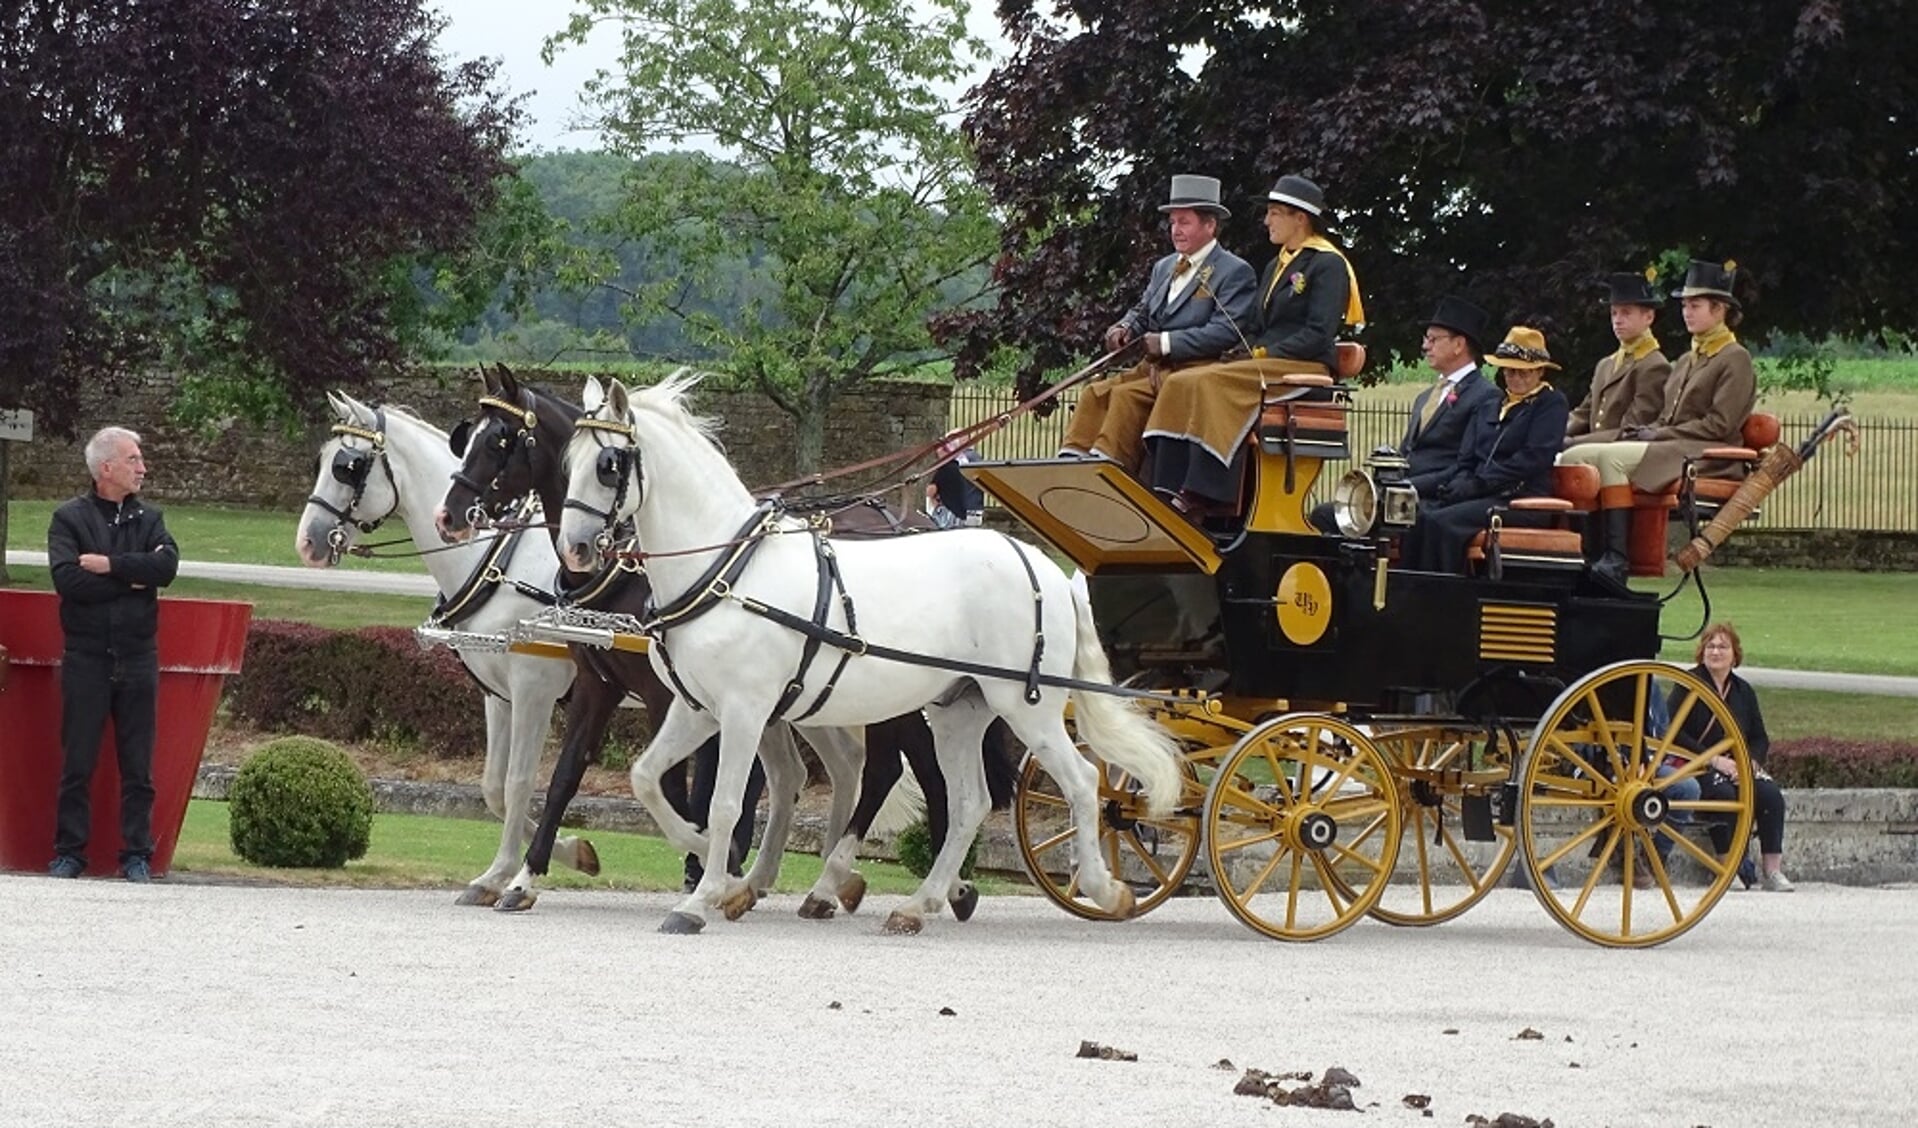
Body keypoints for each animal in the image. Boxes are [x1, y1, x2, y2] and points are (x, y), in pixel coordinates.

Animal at [439, 368, 1020, 916]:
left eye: (501, 440)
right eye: (567, 464)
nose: (450, 515)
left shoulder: (660, 694)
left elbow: (683, 789)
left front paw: (707, 867)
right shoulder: (598, 685)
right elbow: (567, 777)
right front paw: (526, 876)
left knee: (895, 770)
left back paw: (911, 884)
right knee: (840, 770)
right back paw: (864, 884)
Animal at [552, 376, 1181, 932]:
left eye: (608, 465)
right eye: (567, 461)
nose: (575, 550)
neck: (727, 569)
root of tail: (1039, 563)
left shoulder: (744, 712)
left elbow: (726, 803)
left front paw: (701, 896)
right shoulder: (697, 709)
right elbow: (647, 780)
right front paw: (718, 867)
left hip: (1028, 707)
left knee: (1080, 781)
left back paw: (1101, 887)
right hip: (958, 710)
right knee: (969, 802)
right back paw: (919, 904)